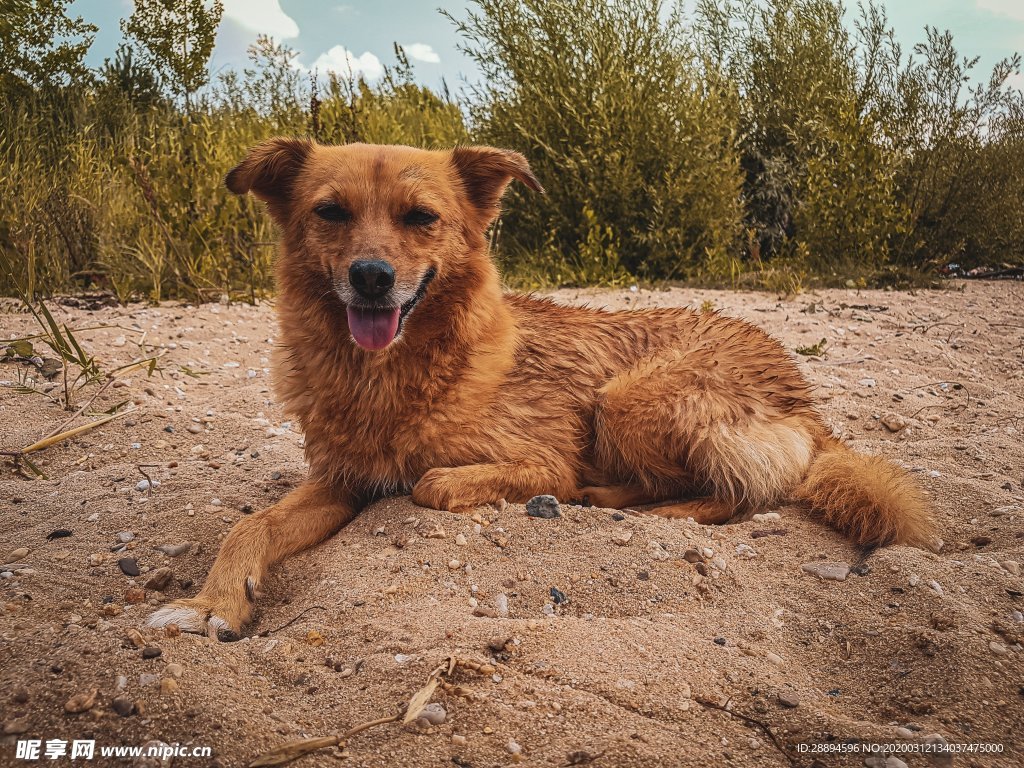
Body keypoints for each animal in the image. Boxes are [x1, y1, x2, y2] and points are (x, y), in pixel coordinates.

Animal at [146, 138, 937, 638]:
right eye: (330, 212)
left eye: (421, 218)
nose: (371, 277)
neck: (394, 375)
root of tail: (803, 394)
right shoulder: (338, 479)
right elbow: (250, 524)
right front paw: (213, 600)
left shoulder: (538, 458)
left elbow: (431, 482)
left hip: (628, 397)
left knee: (739, 494)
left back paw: (635, 504)